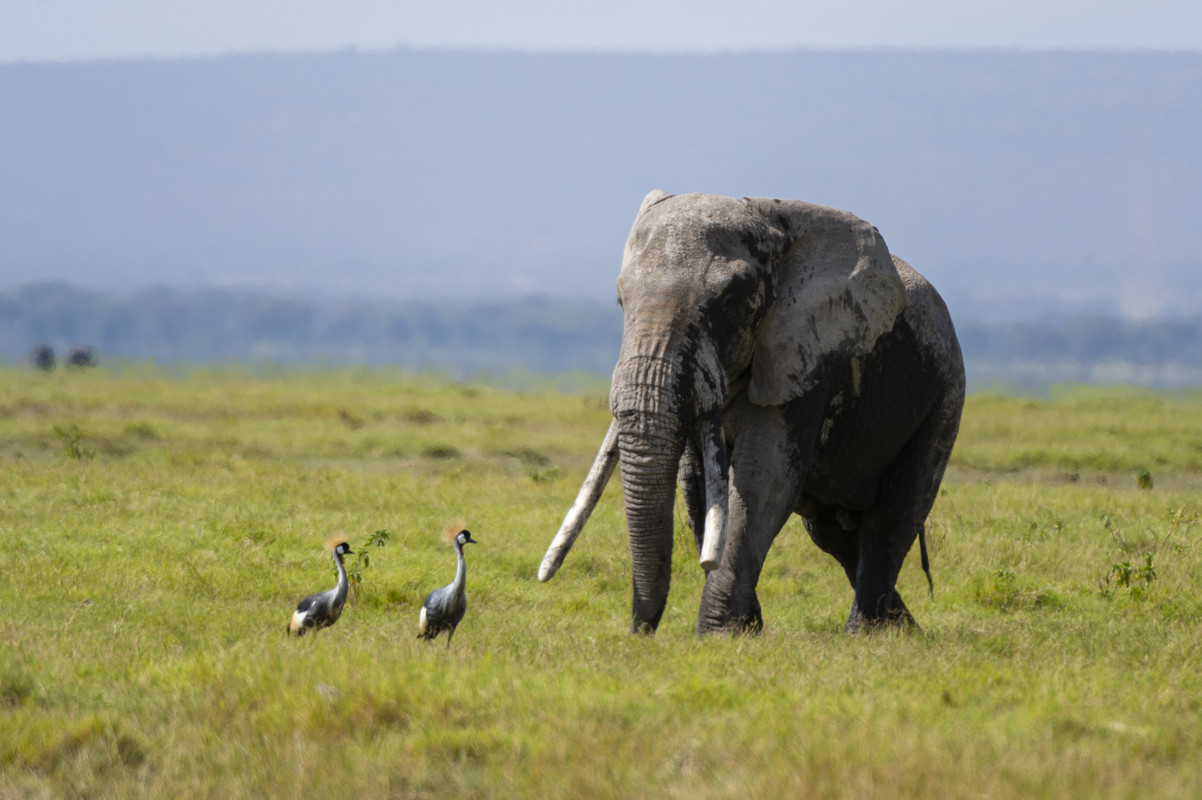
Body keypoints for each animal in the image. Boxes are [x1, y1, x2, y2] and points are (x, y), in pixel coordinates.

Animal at [539, 190, 965, 635]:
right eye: (621, 301)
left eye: (729, 302)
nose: (641, 634)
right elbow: (697, 485)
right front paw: (745, 630)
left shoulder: (805, 355)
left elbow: (763, 477)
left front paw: (720, 635)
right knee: (833, 533)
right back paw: (902, 628)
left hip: (945, 394)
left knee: (893, 517)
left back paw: (868, 632)